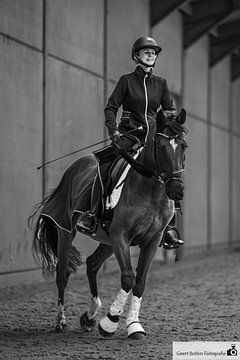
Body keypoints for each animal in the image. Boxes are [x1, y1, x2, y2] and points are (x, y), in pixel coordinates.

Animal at [28, 108, 188, 338]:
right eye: (159, 146)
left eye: (184, 145)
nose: (176, 190)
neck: (150, 191)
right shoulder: (121, 236)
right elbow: (128, 278)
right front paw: (110, 323)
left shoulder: (151, 240)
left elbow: (140, 282)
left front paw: (134, 325)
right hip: (67, 231)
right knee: (62, 274)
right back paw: (61, 321)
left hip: (108, 241)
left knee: (92, 264)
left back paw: (89, 316)